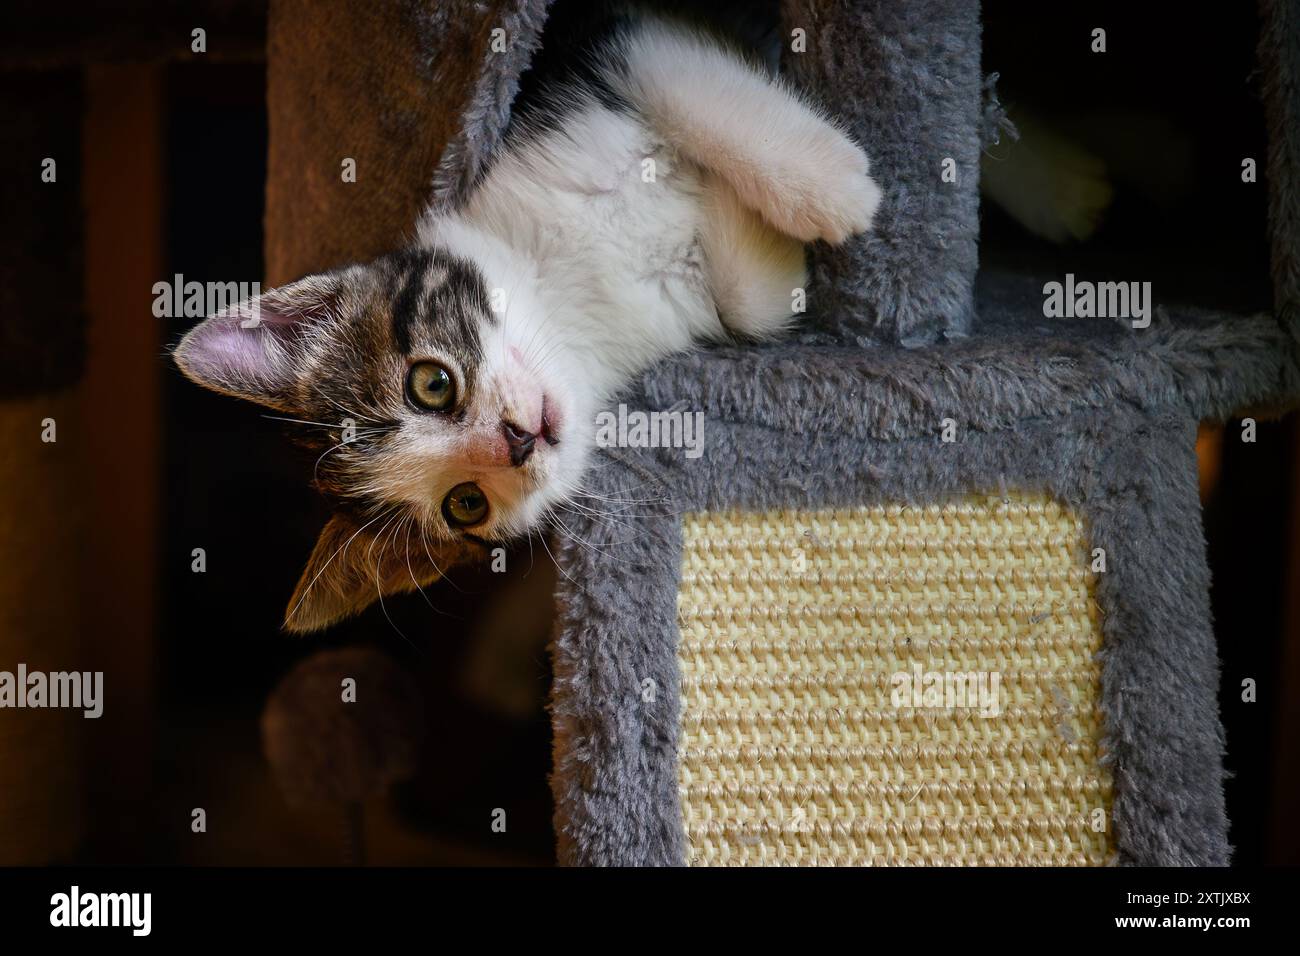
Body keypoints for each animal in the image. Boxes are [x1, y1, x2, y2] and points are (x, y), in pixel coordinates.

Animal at [172, 14, 878, 632]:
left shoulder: (596, 56)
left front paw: (830, 187)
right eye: (465, 504)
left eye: (430, 384)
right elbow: (761, 299)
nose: (517, 441)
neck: (572, 307)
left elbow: (674, 69)